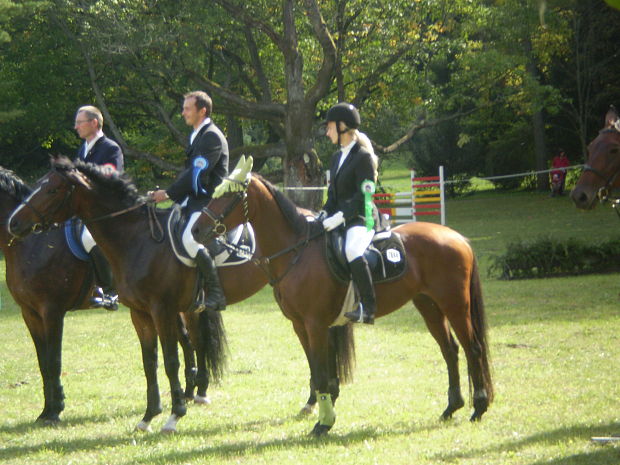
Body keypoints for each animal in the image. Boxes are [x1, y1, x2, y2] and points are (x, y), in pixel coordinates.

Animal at [194, 159, 494, 436]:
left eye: (228, 196)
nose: (196, 230)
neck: (296, 250)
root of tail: (458, 238)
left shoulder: (315, 324)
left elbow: (321, 372)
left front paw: (323, 423)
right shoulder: (301, 325)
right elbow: (319, 370)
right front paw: (323, 411)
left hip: (455, 305)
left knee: (473, 348)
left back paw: (478, 406)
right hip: (429, 305)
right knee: (450, 350)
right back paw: (451, 407)